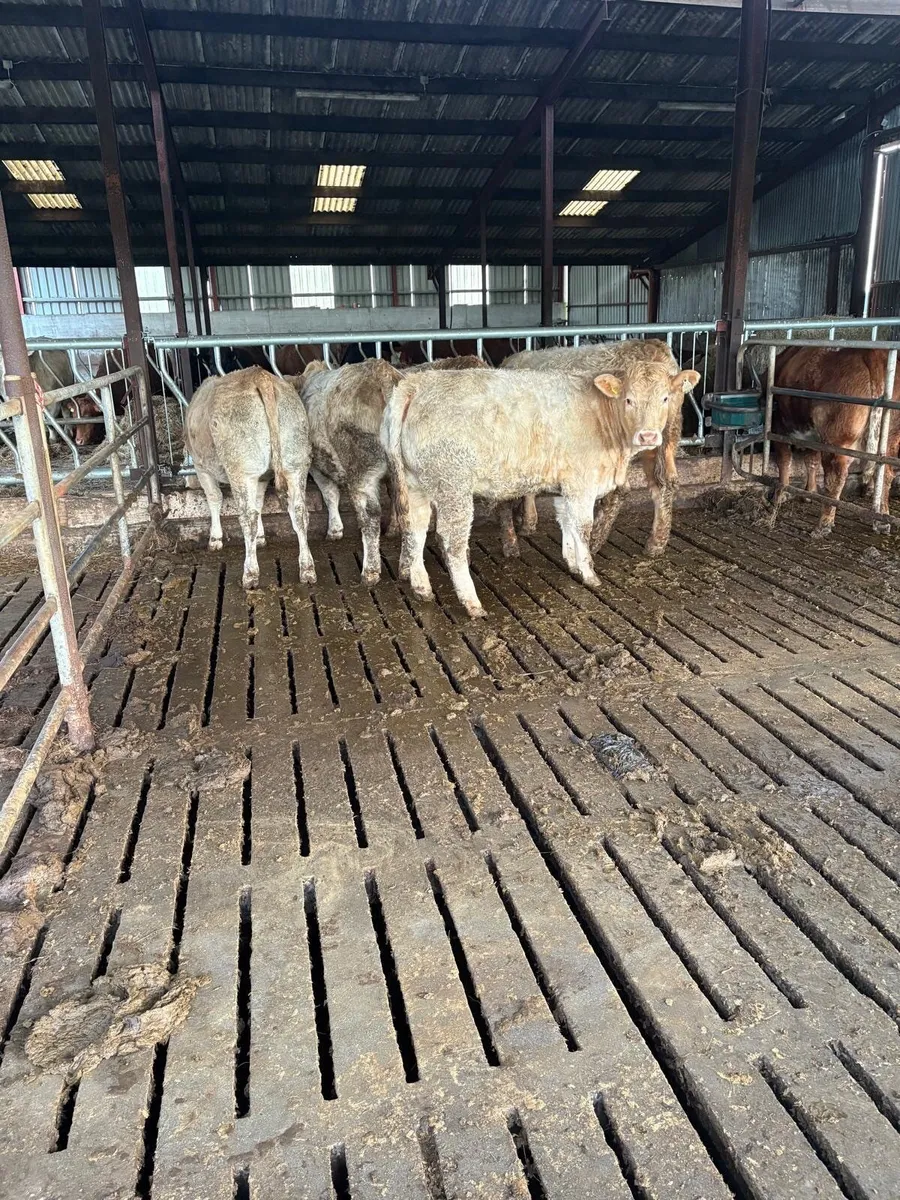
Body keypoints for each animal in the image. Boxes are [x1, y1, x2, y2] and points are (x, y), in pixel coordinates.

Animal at [185, 367, 315, 589]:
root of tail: (259, 375)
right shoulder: (261, 477)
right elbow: (260, 502)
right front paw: (261, 537)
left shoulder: (201, 468)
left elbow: (214, 498)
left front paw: (215, 539)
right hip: (295, 463)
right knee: (300, 512)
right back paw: (307, 568)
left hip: (241, 470)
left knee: (248, 518)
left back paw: (250, 574)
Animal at [294, 358, 404, 583]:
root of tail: (381, 372)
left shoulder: (316, 467)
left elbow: (330, 495)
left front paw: (334, 530)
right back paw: (407, 569)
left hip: (362, 472)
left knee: (370, 516)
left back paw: (370, 571)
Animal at [381, 362, 695, 618]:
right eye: (629, 399)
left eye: (665, 398)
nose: (648, 436)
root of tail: (415, 383)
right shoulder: (582, 480)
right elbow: (583, 526)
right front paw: (589, 573)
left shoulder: (566, 483)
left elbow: (566, 520)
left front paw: (572, 562)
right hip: (452, 485)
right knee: (451, 539)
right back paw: (472, 603)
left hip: (415, 483)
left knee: (415, 528)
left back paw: (422, 588)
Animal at [500, 339, 697, 558]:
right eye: (629, 400)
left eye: (664, 398)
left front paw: (526, 522)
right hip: (664, 439)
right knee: (664, 484)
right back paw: (656, 543)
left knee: (621, 489)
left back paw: (595, 540)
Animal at [768, 345, 900, 537]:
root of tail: (872, 353)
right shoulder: (814, 437)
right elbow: (811, 461)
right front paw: (809, 493)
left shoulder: (778, 428)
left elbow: (784, 461)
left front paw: (780, 494)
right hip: (890, 438)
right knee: (885, 473)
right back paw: (882, 522)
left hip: (836, 439)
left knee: (836, 476)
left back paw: (823, 524)